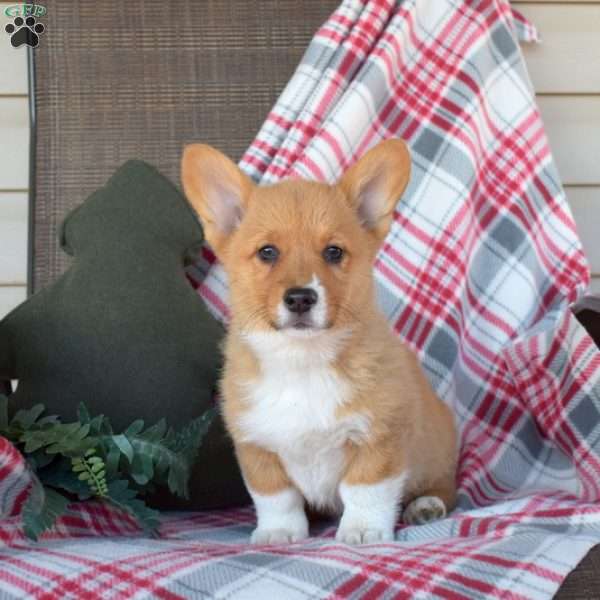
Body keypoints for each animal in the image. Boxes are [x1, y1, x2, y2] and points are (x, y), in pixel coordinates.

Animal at [180, 139, 458, 544]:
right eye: (267, 252)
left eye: (333, 252)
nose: (300, 298)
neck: (303, 360)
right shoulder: (257, 447)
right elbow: (276, 497)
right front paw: (279, 532)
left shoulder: (380, 438)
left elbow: (365, 490)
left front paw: (363, 531)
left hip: (438, 454)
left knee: (445, 488)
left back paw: (426, 506)